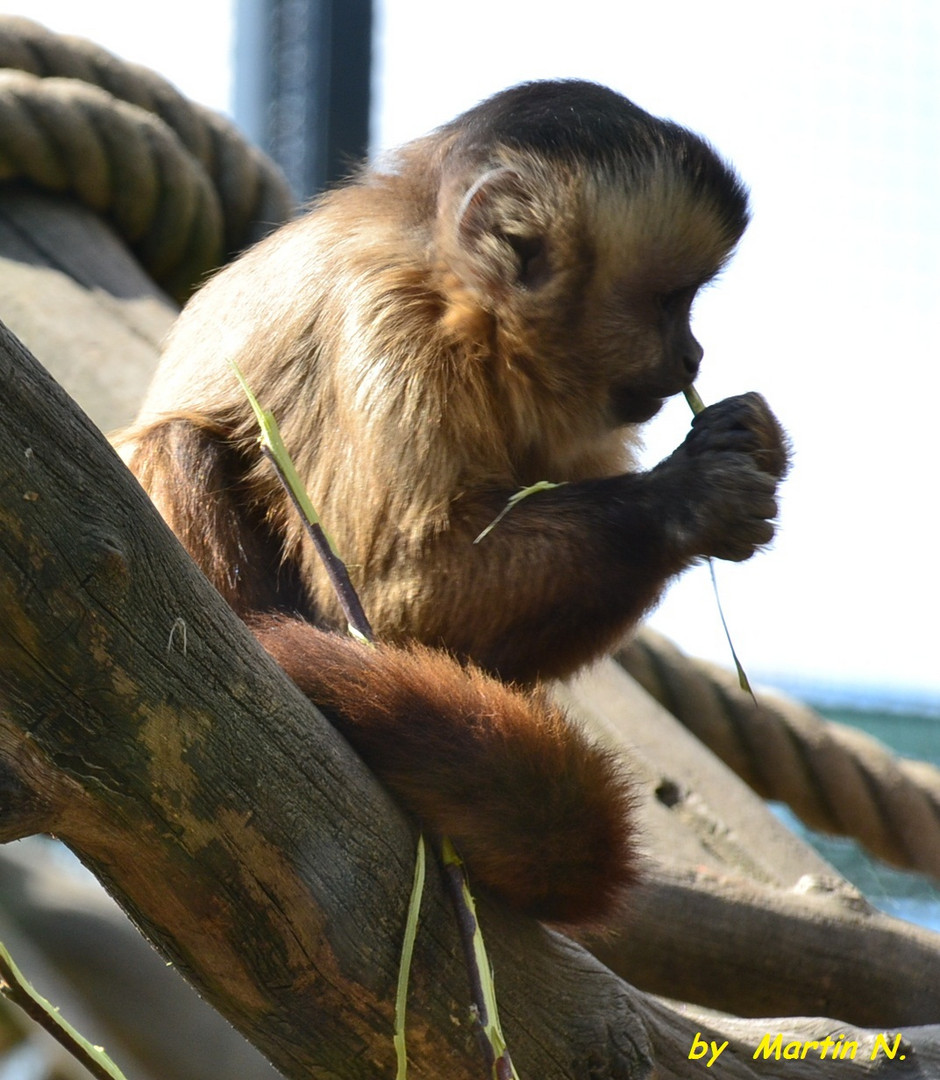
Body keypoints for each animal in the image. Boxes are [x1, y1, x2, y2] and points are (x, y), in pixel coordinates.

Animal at [119, 79, 795, 924]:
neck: (461, 302)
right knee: (179, 444)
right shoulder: (384, 326)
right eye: (671, 302)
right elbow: (386, 602)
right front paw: (691, 498)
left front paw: (750, 442)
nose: (694, 356)